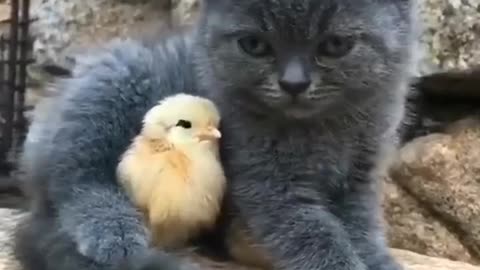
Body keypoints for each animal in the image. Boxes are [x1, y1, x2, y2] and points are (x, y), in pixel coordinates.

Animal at [14, 0, 420, 270]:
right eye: (254, 45)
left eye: (335, 45)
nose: (293, 83)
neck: (327, 127)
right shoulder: (269, 185)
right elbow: (314, 233)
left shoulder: (361, 179)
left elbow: (361, 228)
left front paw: (378, 260)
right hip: (112, 87)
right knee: (76, 177)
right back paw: (114, 232)